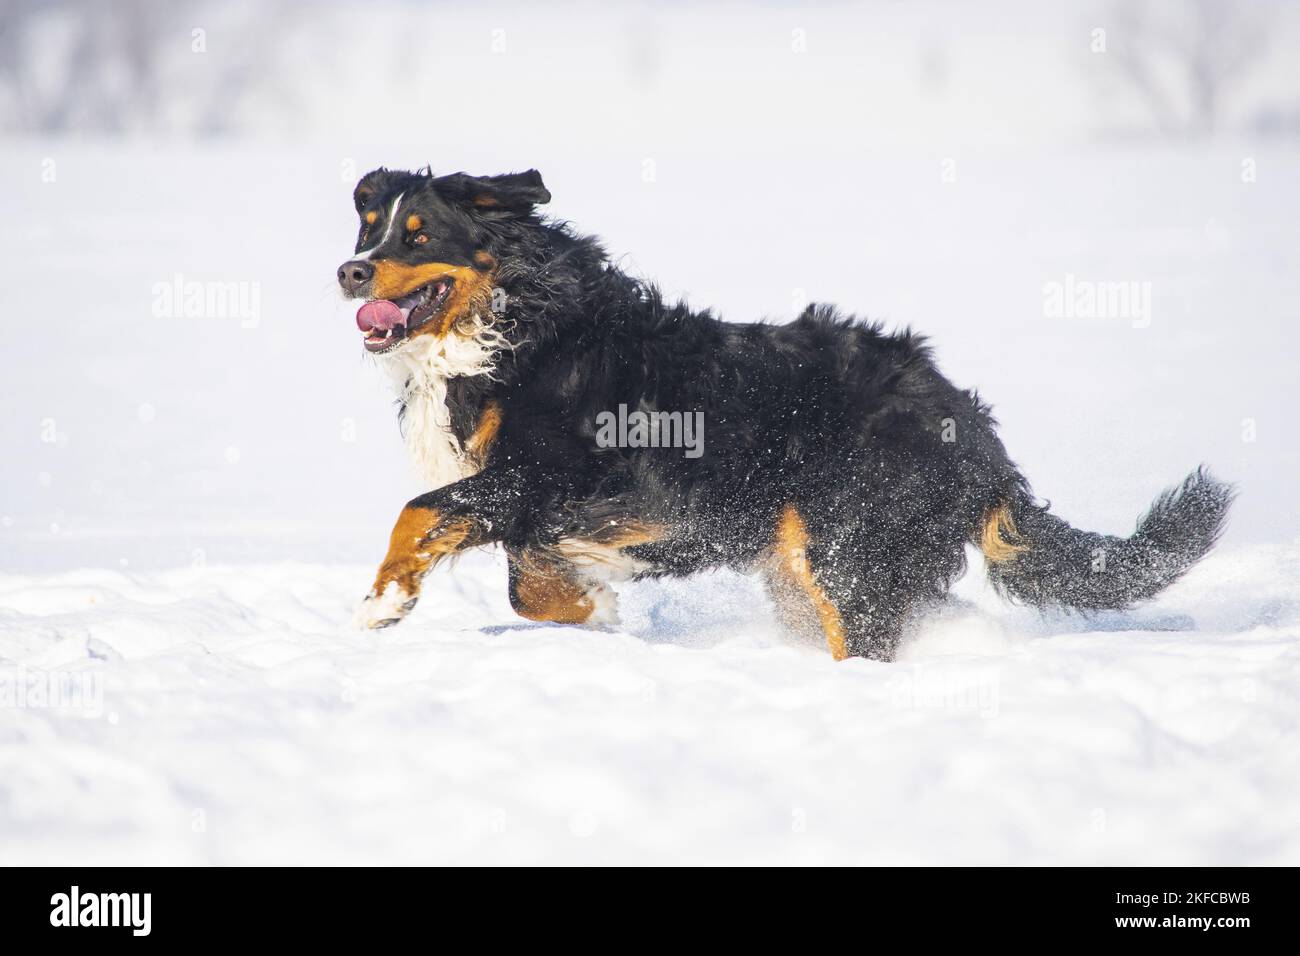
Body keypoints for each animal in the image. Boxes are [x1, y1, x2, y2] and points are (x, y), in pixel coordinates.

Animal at [335, 167, 1227, 660]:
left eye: (418, 235)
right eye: (366, 227)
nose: (350, 271)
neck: (516, 323)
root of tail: (976, 432)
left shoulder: (556, 475)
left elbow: (421, 513)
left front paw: (383, 601)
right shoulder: (537, 495)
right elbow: (529, 583)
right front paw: (592, 606)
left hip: (847, 549)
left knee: (865, 638)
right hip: (801, 563)